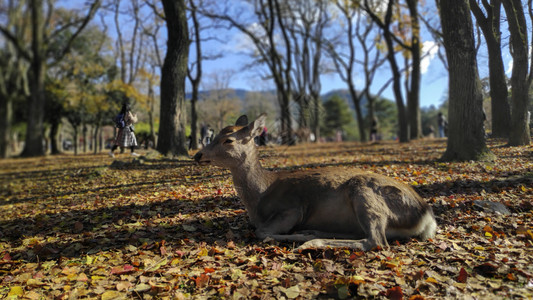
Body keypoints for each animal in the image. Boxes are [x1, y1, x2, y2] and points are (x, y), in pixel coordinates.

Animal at [192, 113, 436, 250]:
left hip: (365, 193)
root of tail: (427, 217)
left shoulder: (291, 208)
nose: (197, 155)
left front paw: (291, 236)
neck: (258, 198)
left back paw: (309, 242)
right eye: (214, 135)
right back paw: (314, 233)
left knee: (377, 241)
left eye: (228, 140)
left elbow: (262, 232)